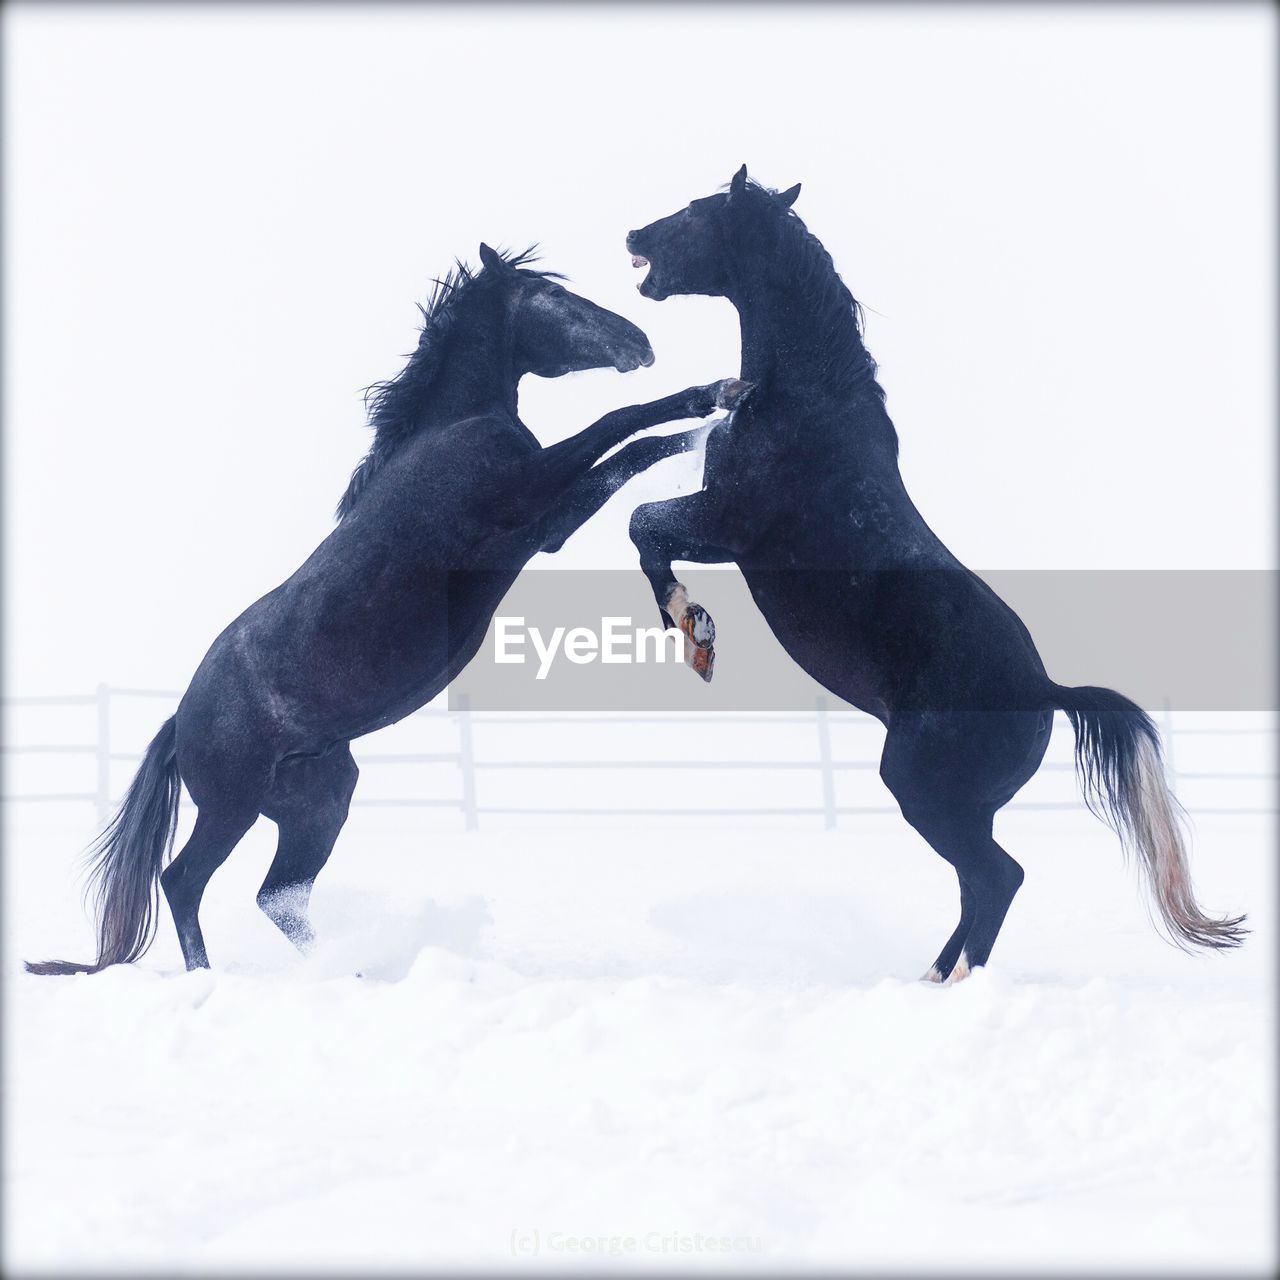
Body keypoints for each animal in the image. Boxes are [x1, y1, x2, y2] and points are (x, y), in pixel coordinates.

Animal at [27, 244, 747, 972]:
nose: (640, 343)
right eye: (552, 296)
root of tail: (180, 722)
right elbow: (618, 426)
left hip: (319, 804)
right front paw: (718, 399)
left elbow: (631, 451)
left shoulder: (546, 524)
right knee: (184, 881)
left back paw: (347, 967)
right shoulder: (529, 494)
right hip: (232, 807)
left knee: (278, 896)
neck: (447, 433)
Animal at [624, 170, 1244, 983]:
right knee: (976, 886)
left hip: (924, 791)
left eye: (698, 214)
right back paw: (930, 980)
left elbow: (642, 524)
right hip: (959, 806)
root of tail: (1046, 690)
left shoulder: (726, 526)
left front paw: (694, 633)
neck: (802, 399)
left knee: (996, 878)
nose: (632, 237)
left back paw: (951, 985)